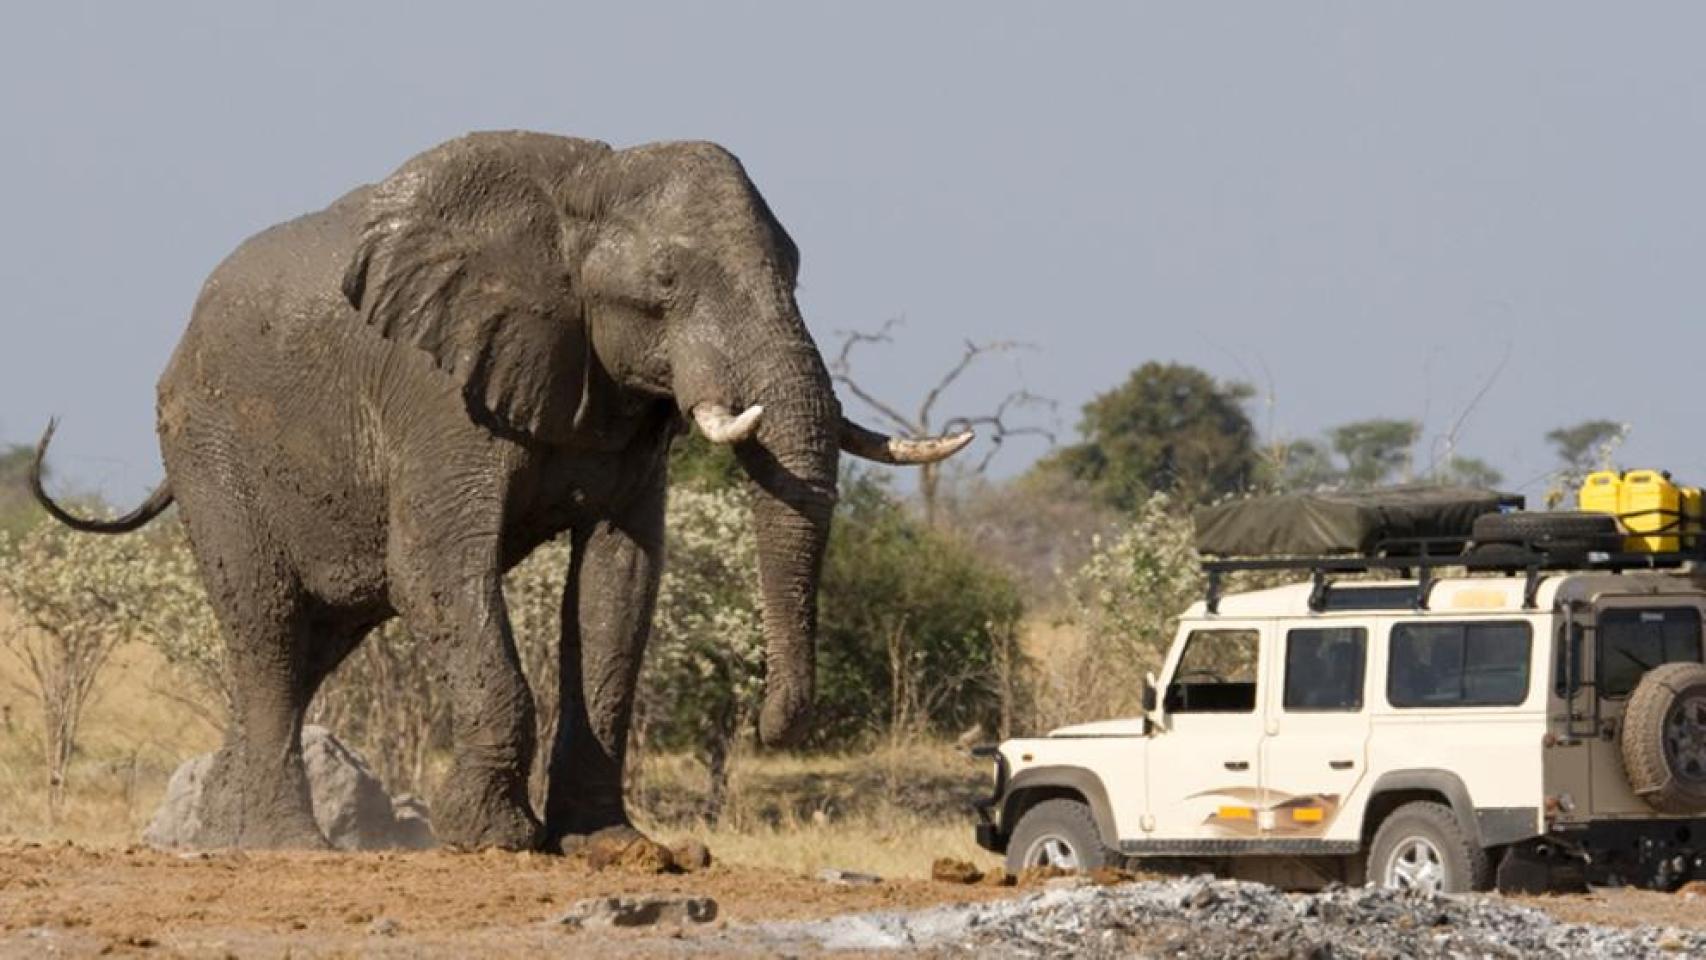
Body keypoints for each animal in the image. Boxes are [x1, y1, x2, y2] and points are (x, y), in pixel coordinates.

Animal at [30, 131, 971, 851]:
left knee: (310, 644)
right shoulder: (434, 388)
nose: (772, 726)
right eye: (666, 284)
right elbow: (438, 571)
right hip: (210, 445)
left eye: (798, 272)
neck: (580, 193)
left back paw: (213, 836)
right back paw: (281, 845)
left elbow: (619, 585)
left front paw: (610, 846)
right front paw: (493, 839)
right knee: (267, 623)